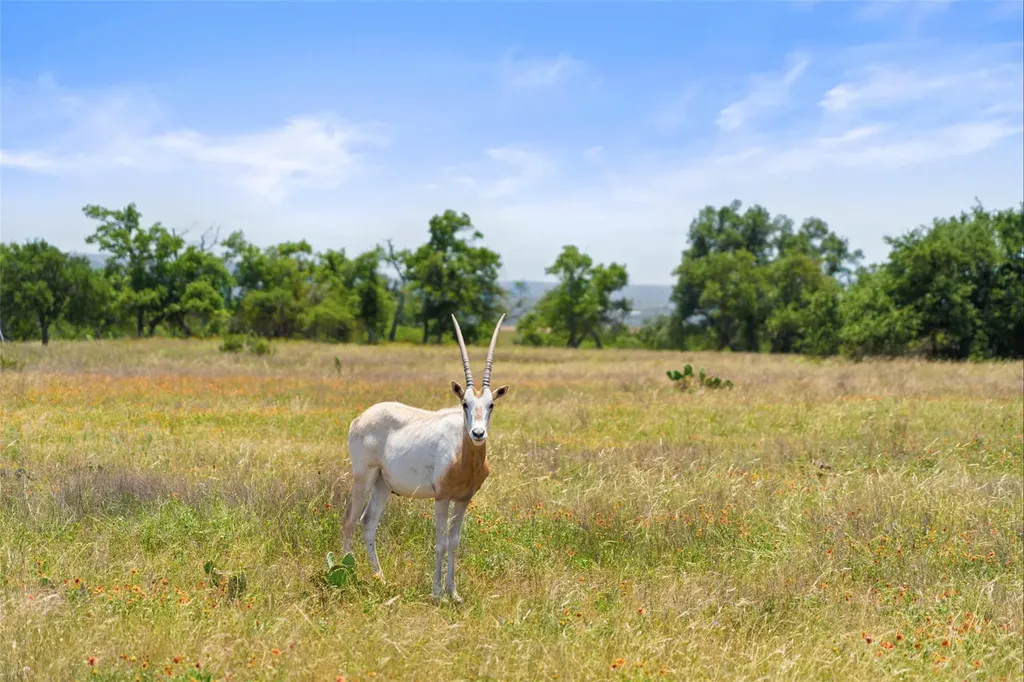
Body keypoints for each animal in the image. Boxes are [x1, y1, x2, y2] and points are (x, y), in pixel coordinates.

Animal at [342, 313, 510, 603]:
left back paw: (381, 578)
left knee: (368, 523)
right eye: (464, 404)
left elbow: (454, 542)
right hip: (363, 478)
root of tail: (360, 418)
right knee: (350, 522)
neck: (462, 457)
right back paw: (345, 576)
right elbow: (440, 542)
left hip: (383, 484)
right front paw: (436, 593)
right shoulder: (441, 498)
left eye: (491, 405)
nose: (478, 433)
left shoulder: (463, 499)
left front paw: (454, 593)